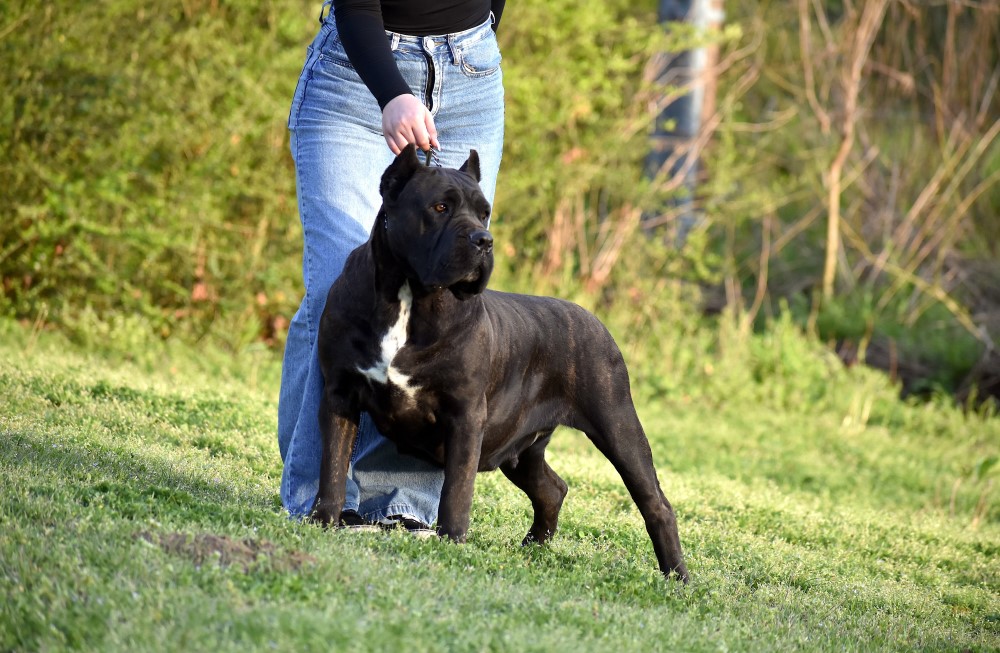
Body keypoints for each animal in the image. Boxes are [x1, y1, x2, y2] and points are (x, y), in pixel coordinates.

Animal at [312, 144, 688, 580]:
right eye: (440, 207)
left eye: (484, 213)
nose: (484, 240)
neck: (408, 297)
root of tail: (593, 319)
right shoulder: (340, 395)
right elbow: (332, 468)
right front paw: (322, 522)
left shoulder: (465, 416)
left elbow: (456, 490)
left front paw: (451, 542)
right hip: (523, 449)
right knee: (552, 488)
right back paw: (534, 547)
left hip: (619, 427)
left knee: (656, 504)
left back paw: (677, 577)